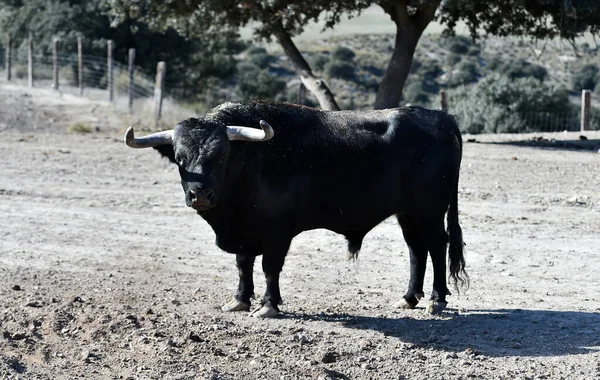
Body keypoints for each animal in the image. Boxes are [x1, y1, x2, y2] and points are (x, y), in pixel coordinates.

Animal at [123, 100, 468, 318]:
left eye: (220, 156)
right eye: (180, 159)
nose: (200, 194)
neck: (252, 161)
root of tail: (439, 117)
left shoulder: (277, 232)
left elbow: (269, 267)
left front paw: (268, 305)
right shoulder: (244, 231)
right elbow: (243, 265)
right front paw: (239, 300)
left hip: (429, 212)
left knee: (437, 246)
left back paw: (436, 300)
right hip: (407, 213)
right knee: (416, 250)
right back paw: (409, 298)